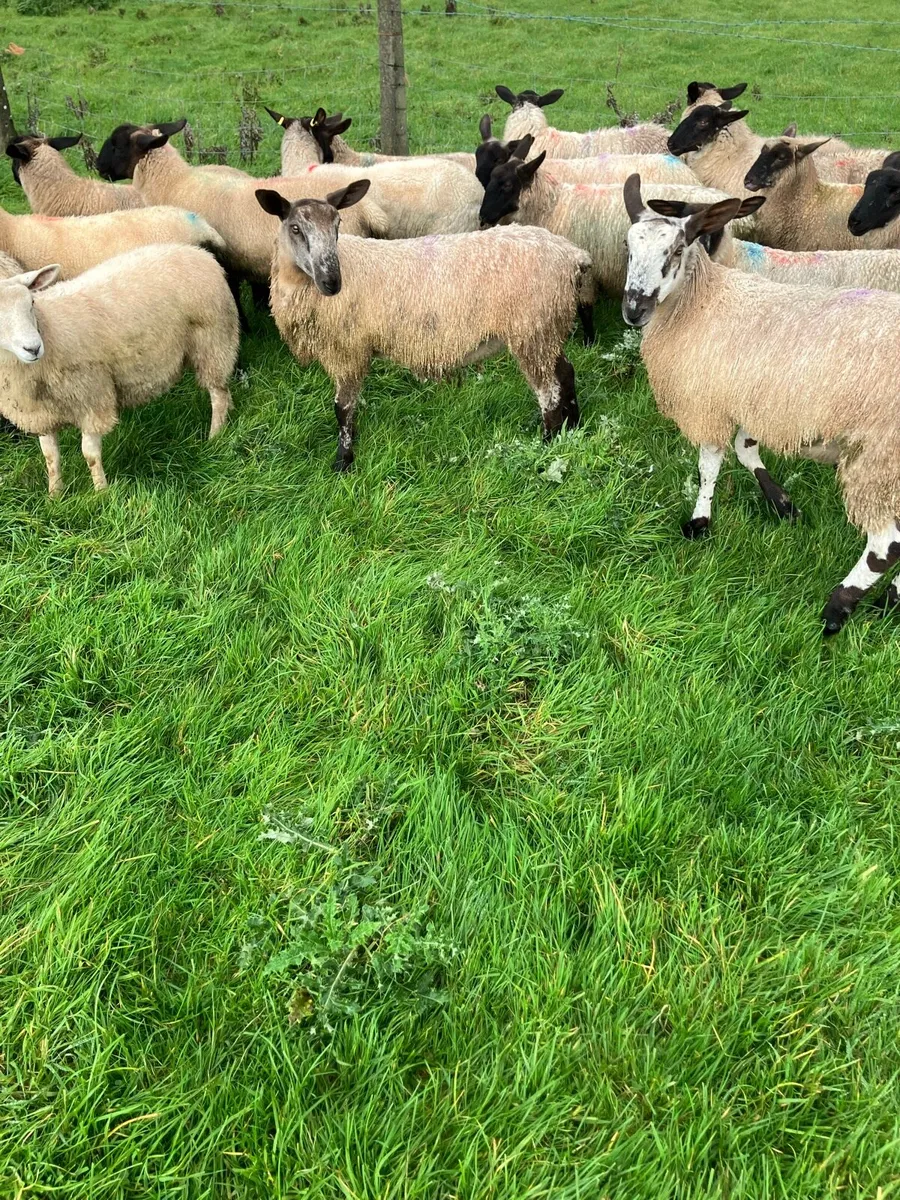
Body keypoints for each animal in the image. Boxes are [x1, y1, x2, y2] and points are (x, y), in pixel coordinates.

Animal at [0, 243, 239, 491]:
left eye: (31, 303)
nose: (33, 348)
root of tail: (200, 253)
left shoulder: (93, 397)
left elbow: (90, 454)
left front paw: (101, 492)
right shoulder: (40, 414)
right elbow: (50, 457)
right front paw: (55, 493)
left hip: (212, 339)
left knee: (217, 394)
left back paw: (215, 436)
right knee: (224, 388)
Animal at [256, 180, 592, 470]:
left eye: (338, 225)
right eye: (296, 228)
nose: (332, 282)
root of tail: (573, 254)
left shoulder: (348, 349)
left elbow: (343, 408)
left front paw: (343, 461)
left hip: (532, 329)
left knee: (548, 391)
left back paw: (548, 442)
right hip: (549, 327)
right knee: (565, 372)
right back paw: (572, 426)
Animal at [478, 148, 748, 341]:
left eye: (507, 185)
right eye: (490, 180)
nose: (482, 218)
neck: (554, 206)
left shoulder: (586, 270)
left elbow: (585, 308)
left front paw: (589, 341)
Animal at [621, 172, 900, 635]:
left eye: (676, 250)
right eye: (628, 249)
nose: (633, 309)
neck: (702, 299)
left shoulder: (709, 399)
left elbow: (709, 464)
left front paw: (700, 521)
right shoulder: (754, 398)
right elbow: (745, 449)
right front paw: (783, 504)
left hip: (878, 455)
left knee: (886, 543)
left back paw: (838, 609)